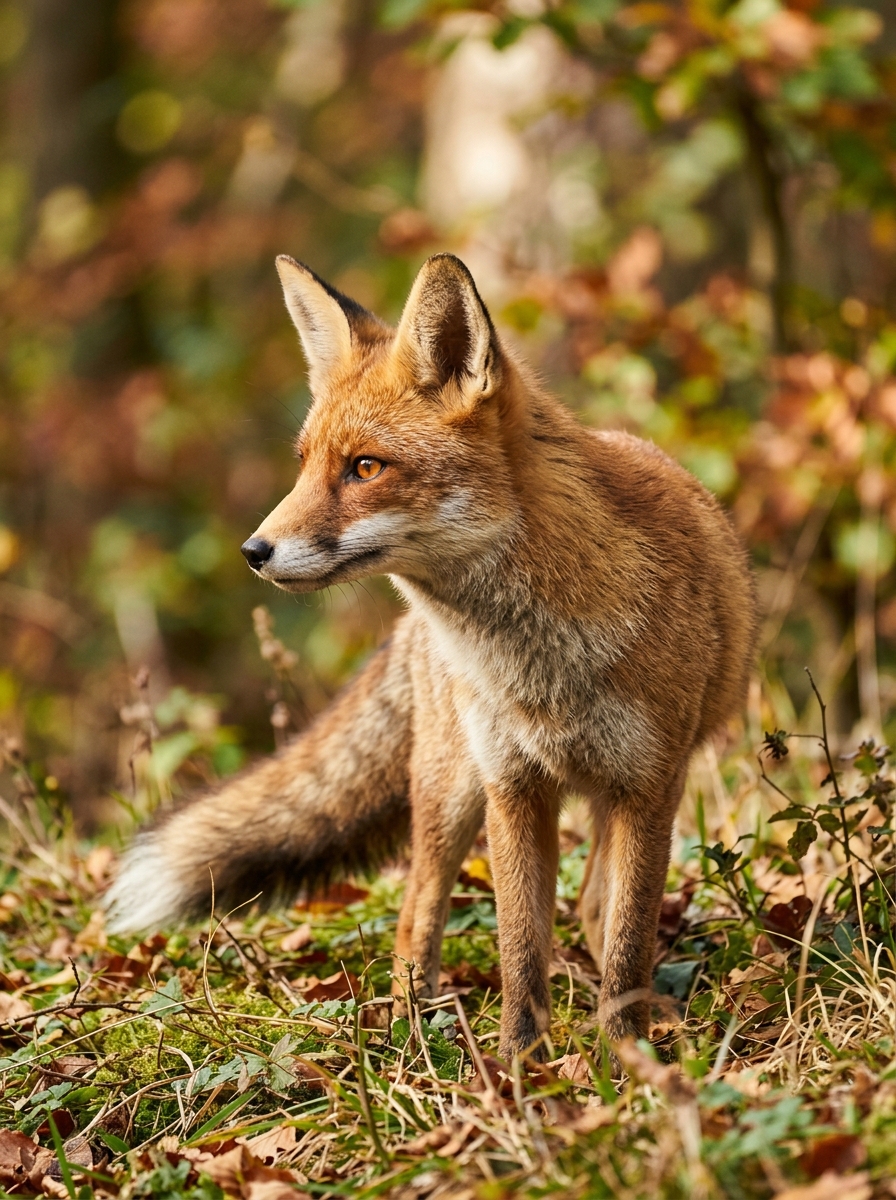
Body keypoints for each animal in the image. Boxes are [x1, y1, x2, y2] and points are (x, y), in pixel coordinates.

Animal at [106, 252, 757, 1061]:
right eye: (305, 464)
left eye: (364, 468)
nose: (253, 551)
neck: (545, 668)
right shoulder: (513, 787)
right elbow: (520, 952)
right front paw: (519, 1067)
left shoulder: (647, 786)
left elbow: (627, 939)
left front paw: (623, 1057)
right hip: (452, 789)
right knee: (418, 910)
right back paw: (408, 1030)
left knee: (593, 907)